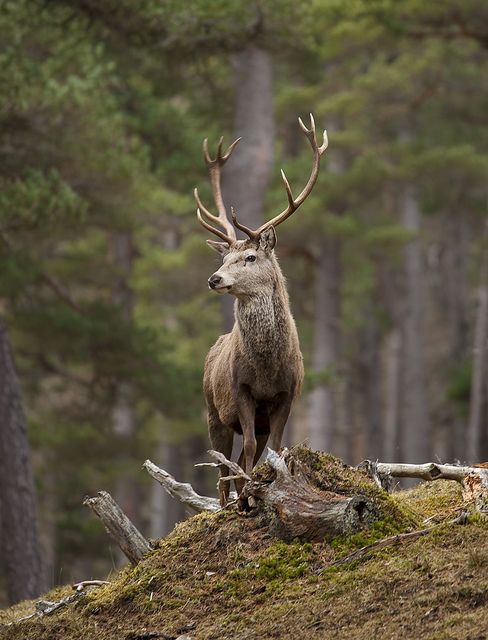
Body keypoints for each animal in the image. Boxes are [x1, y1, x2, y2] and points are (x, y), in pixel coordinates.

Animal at [194, 115, 328, 504]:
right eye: (224, 258)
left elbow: (275, 450)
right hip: (212, 411)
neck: (267, 367)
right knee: (223, 466)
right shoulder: (241, 391)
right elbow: (251, 448)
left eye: (250, 256)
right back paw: (229, 501)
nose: (214, 278)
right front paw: (249, 496)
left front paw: (265, 488)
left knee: (239, 460)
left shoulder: (287, 395)